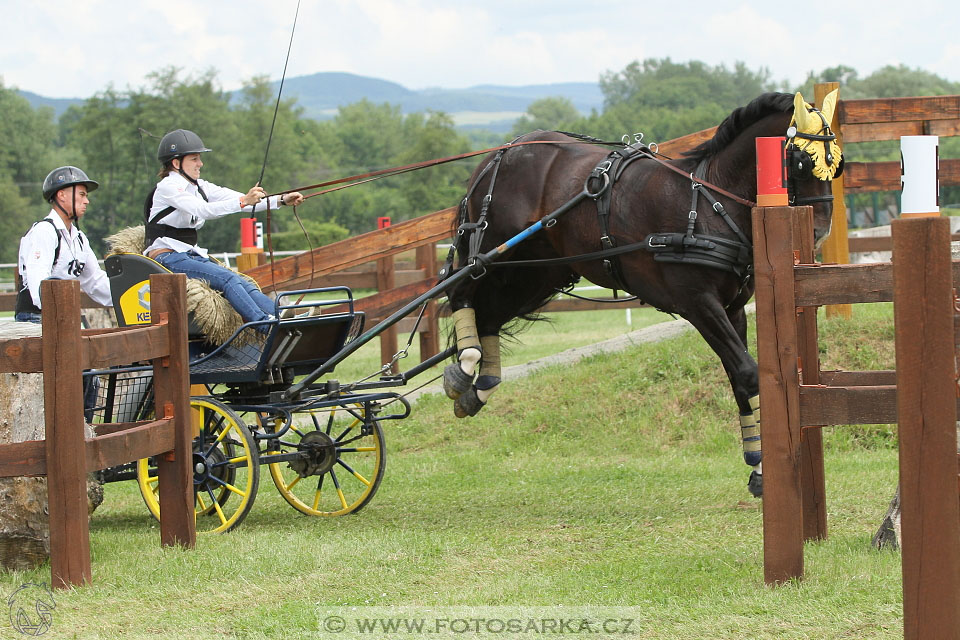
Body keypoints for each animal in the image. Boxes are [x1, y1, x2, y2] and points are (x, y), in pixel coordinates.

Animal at [440, 91, 840, 500]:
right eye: (802, 161)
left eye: (836, 164)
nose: (819, 231)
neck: (708, 201)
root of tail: (503, 152)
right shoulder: (699, 305)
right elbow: (749, 374)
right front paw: (766, 470)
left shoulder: (734, 309)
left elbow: (739, 379)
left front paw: (758, 468)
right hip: (491, 253)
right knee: (459, 292)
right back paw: (465, 368)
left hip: (538, 272)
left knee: (488, 315)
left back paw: (480, 387)